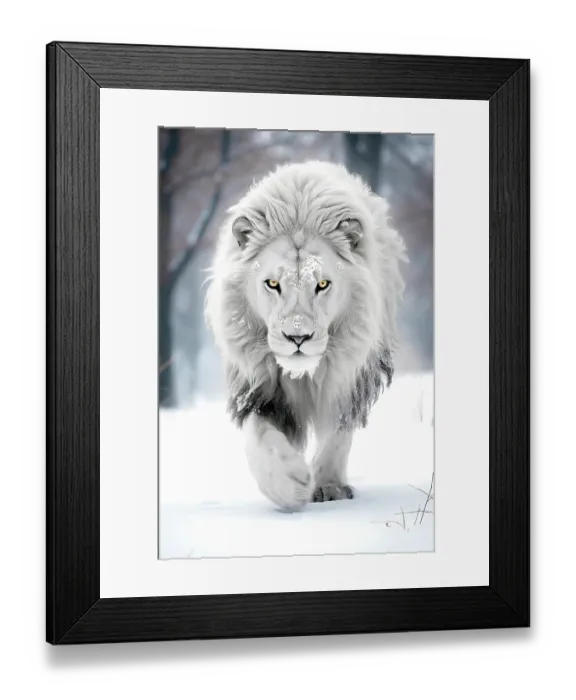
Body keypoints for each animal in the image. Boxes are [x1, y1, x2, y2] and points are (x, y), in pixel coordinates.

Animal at [204, 160, 407, 510]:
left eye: (322, 284)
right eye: (272, 284)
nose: (297, 338)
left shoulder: (350, 376)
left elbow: (338, 432)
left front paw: (328, 487)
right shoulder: (257, 386)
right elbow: (260, 435)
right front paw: (289, 482)